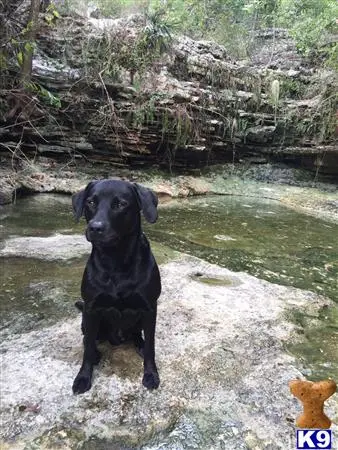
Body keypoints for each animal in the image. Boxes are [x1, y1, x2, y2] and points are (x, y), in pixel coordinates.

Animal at [71, 179, 161, 394]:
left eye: (120, 204)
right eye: (91, 202)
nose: (95, 227)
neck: (116, 260)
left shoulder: (150, 309)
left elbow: (151, 346)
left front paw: (151, 374)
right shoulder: (91, 308)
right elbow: (87, 349)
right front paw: (83, 377)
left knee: (137, 335)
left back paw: (139, 344)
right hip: (87, 320)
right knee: (88, 339)